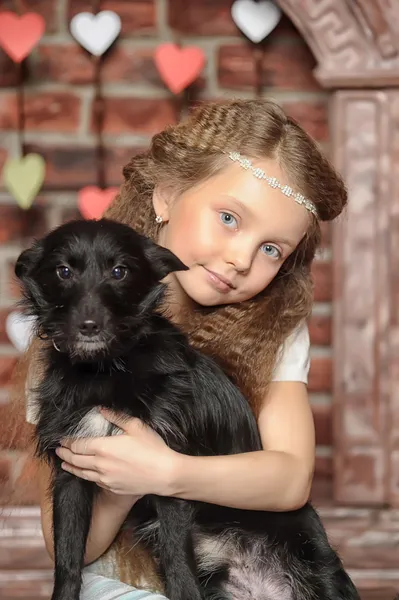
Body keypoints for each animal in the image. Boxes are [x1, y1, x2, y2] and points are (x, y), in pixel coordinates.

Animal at [14, 219, 360, 600]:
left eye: (120, 272)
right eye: (63, 271)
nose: (89, 326)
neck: (106, 370)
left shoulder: (165, 469)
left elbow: (177, 560)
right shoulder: (70, 471)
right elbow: (68, 555)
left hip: (313, 554)